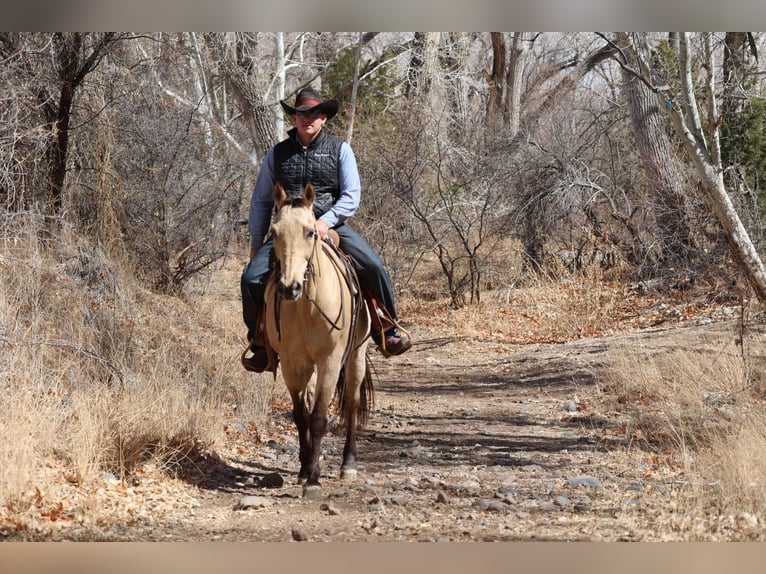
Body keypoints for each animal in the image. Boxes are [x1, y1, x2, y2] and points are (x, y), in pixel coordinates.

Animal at [264, 182, 374, 499]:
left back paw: (348, 464)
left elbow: (318, 417)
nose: (289, 288)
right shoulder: (291, 363)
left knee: (351, 403)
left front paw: (313, 480)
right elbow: (301, 415)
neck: (306, 307)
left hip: (356, 354)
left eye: (311, 232)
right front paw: (304, 470)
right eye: (274, 232)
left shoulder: (330, 360)